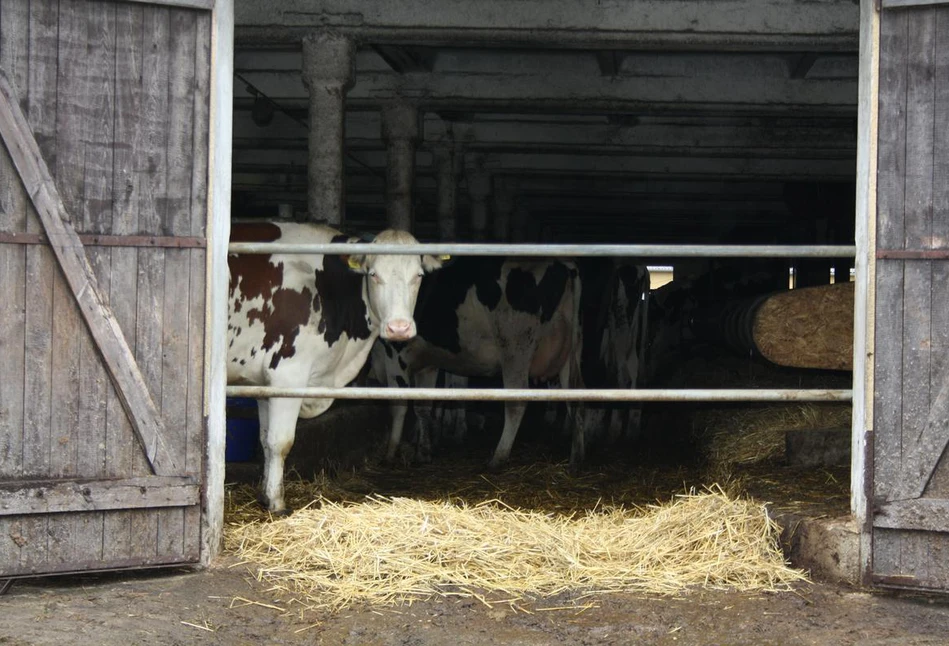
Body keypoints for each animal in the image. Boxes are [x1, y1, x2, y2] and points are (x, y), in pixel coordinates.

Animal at [228, 223, 442, 516]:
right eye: (373, 274)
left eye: (418, 275)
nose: (399, 328)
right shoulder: (288, 375)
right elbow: (280, 442)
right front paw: (277, 503)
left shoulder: (263, 382)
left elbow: (265, 440)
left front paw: (264, 496)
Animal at [372, 256, 584, 474]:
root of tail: (562, 263)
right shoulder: (427, 364)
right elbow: (423, 407)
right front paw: (423, 452)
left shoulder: (395, 356)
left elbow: (399, 408)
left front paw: (390, 453)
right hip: (570, 352)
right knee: (577, 397)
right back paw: (576, 458)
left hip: (515, 350)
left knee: (517, 404)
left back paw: (498, 457)